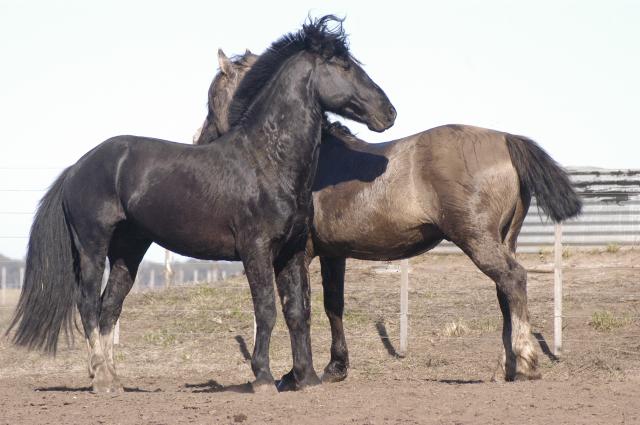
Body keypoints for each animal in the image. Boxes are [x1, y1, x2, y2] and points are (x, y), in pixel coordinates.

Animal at [6, 16, 396, 393]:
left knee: (109, 307)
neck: (265, 160)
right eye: (342, 65)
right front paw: (263, 378)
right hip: (92, 245)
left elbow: (296, 311)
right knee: (87, 304)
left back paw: (114, 381)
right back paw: (100, 379)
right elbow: (266, 310)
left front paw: (307, 379)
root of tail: (77, 167)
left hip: (128, 250)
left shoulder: (292, 250)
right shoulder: (256, 249)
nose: (389, 112)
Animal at [195, 50, 582, 383]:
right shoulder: (334, 254)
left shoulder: (299, 253)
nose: (200, 140)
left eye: (212, 97)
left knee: (514, 280)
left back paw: (526, 362)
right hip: (504, 239)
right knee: (505, 292)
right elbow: (333, 306)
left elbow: (300, 307)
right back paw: (505, 367)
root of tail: (505, 139)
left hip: (478, 240)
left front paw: (297, 374)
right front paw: (336, 367)